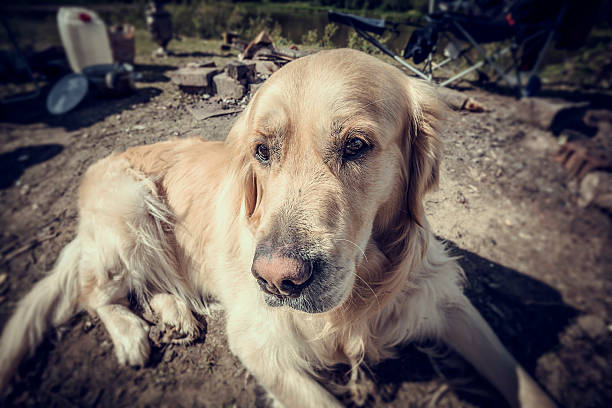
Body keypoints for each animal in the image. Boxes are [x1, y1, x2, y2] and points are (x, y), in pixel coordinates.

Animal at [0, 49, 556, 406]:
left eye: (356, 145)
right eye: (262, 151)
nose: (276, 280)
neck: (360, 295)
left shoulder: (443, 298)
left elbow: (524, 383)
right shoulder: (258, 339)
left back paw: (175, 313)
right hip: (130, 207)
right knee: (96, 291)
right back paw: (132, 334)